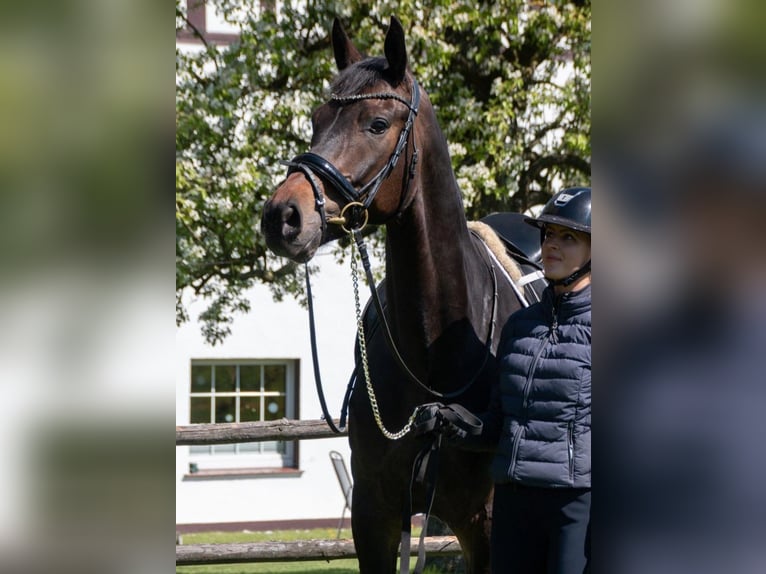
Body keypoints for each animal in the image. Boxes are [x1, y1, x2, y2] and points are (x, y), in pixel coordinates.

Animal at [260, 15, 524, 572]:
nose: (283, 216)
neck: (433, 355)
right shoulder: (374, 515)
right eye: (316, 119)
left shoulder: (489, 525)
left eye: (377, 124)